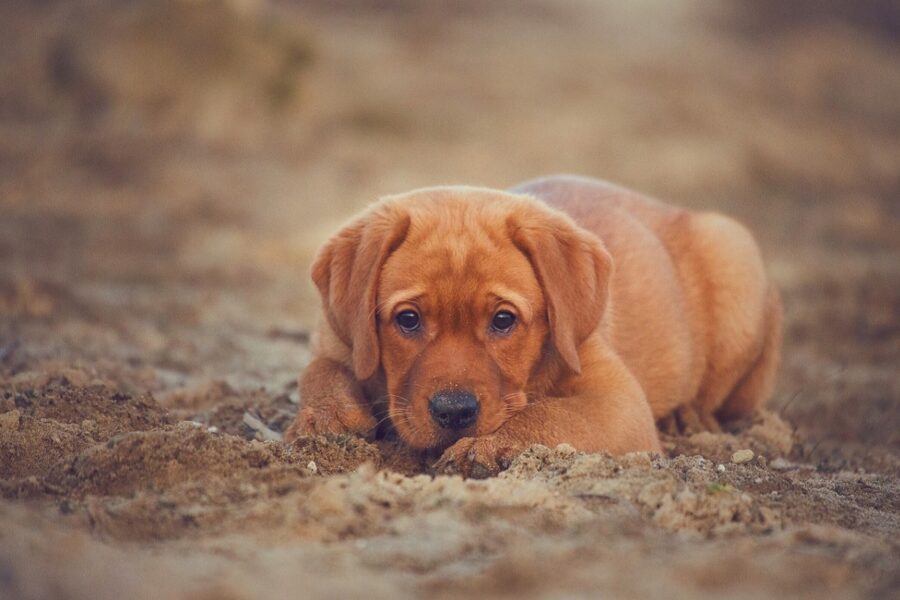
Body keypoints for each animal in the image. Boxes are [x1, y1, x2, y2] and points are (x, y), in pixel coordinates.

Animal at [286, 175, 780, 478]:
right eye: (408, 319)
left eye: (503, 320)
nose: (454, 413)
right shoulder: (334, 339)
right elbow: (316, 370)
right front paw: (326, 416)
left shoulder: (618, 402)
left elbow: (549, 414)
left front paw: (486, 445)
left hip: (733, 254)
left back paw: (686, 416)